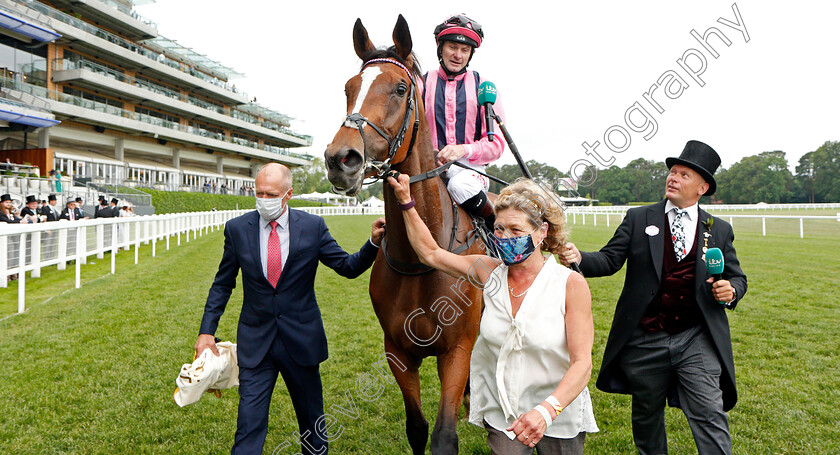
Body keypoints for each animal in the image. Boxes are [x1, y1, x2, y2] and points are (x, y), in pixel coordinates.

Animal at [324, 14, 488, 455]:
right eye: (348, 88)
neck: (421, 260)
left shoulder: (456, 349)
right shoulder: (397, 351)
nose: (340, 159)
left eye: (400, 88)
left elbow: (444, 435)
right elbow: (416, 428)